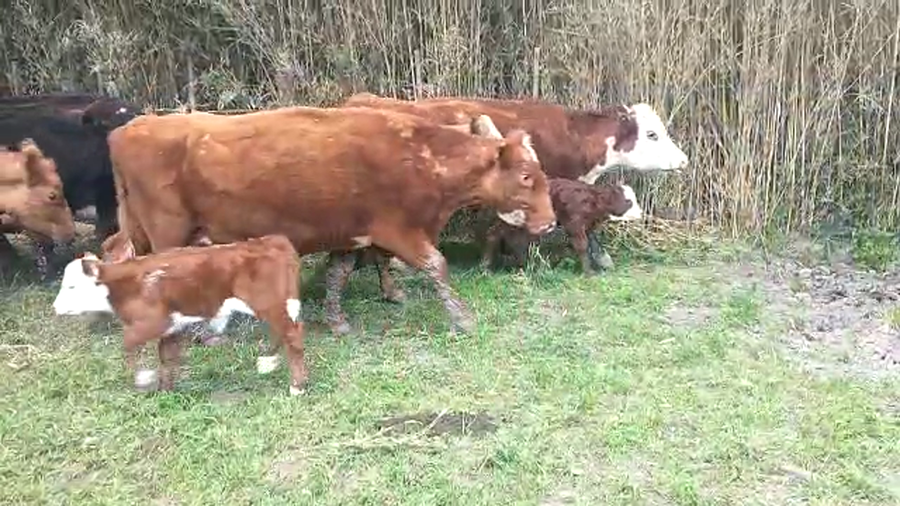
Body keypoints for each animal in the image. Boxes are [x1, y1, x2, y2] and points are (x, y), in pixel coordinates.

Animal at [51, 234, 308, 395]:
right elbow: (166, 356)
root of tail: (273, 241)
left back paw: (297, 386)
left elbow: (128, 343)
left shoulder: (153, 322)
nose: (55, 307)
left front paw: (143, 378)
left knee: (292, 335)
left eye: (71, 286)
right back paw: (268, 362)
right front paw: (165, 389)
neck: (123, 285)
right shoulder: (171, 327)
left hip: (269, 303)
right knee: (284, 332)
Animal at [106, 106, 556, 337]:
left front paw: (337, 320)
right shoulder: (399, 230)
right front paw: (461, 317)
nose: (550, 222)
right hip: (167, 231)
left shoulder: (352, 233)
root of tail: (130, 128)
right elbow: (436, 265)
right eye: (526, 176)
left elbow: (339, 274)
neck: (421, 157)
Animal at [482, 180, 643, 275]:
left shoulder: (587, 225)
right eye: (628, 201)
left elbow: (593, 242)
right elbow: (582, 245)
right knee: (495, 234)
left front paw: (604, 262)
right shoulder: (574, 224)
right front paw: (589, 272)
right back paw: (488, 267)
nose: (641, 213)